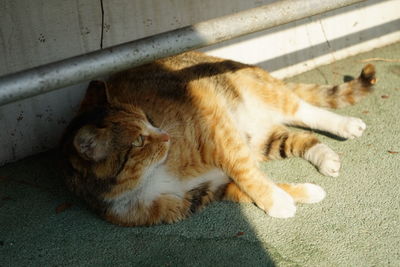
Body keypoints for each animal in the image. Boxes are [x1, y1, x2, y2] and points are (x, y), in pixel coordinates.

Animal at [59, 51, 376, 227]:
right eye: (138, 142)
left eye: (150, 118)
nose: (165, 135)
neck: (149, 178)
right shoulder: (206, 190)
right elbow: (243, 189)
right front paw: (300, 194)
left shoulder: (218, 132)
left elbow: (247, 174)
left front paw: (277, 201)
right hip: (261, 140)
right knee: (298, 137)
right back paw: (326, 158)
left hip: (257, 94)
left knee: (304, 110)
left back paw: (346, 125)